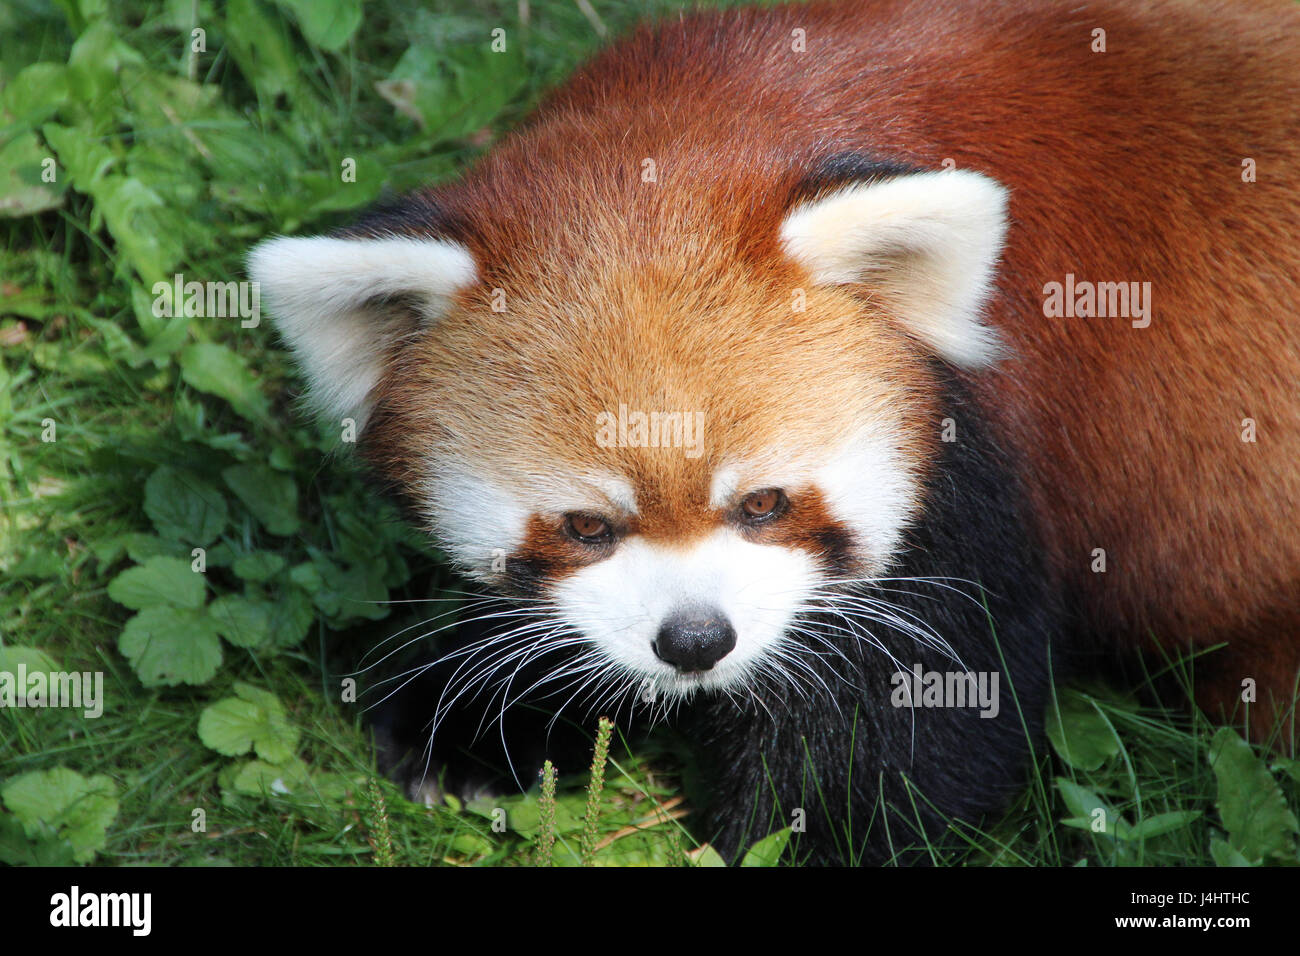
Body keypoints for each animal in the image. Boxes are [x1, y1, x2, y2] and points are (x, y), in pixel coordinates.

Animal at [250, 0, 1300, 863]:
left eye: (762, 503)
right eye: (587, 526)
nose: (694, 641)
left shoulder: (990, 461)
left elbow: (916, 714)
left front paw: (799, 840)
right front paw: (473, 716)